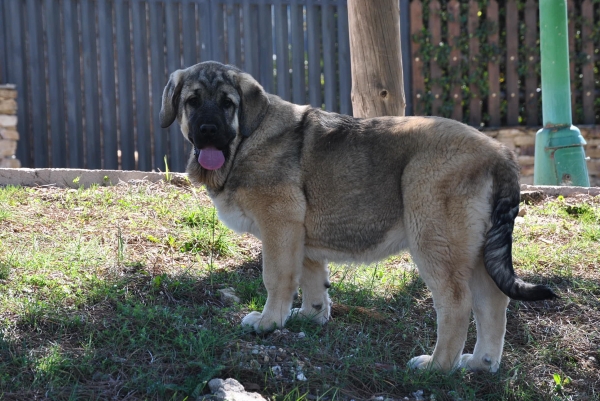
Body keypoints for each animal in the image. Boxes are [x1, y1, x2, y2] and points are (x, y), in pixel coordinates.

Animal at [161, 60, 556, 372]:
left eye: (227, 104)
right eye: (192, 102)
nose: (208, 131)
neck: (245, 139)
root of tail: (500, 153)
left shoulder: (280, 226)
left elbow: (277, 279)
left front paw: (269, 322)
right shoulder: (300, 234)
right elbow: (312, 278)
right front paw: (313, 315)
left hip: (437, 242)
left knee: (457, 305)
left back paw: (438, 366)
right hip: (472, 250)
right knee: (493, 301)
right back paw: (479, 363)